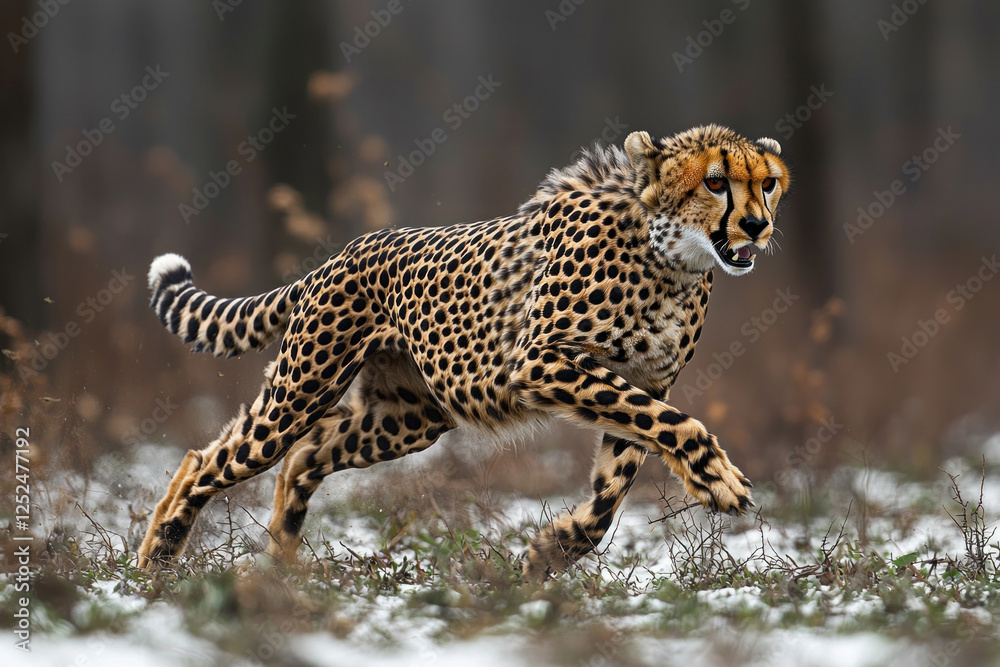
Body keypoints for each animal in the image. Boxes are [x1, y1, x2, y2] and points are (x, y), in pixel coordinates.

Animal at [137, 124, 790, 579]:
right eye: (714, 182)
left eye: (768, 183)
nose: (757, 225)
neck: (671, 260)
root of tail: (336, 257)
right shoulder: (541, 360)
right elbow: (679, 426)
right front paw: (718, 481)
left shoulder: (645, 382)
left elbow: (613, 491)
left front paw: (550, 554)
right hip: (303, 391)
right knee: (211, 459)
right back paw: (158, 559)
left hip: (407, 418)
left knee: (303, 457)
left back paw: (281, 563)